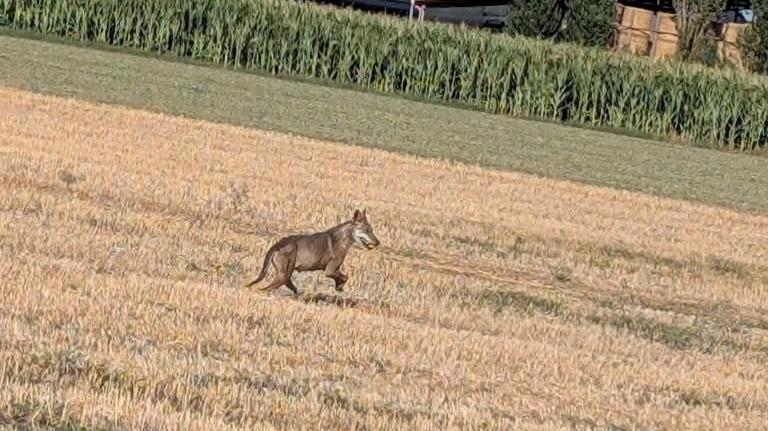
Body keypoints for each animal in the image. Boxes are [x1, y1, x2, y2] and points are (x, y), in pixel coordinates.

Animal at [245, 209, 380, 295]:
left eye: (372, 229)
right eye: (366, 230)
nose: (378, 242)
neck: (343, 237)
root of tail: (277, 245)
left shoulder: (333, 270)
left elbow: (343, 277)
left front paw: (338, 286)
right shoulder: (330, 270)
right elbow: (345, 277)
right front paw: (340, 286)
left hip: (285, 274)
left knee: (290, 286)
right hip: (282, 276)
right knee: (265, 289)